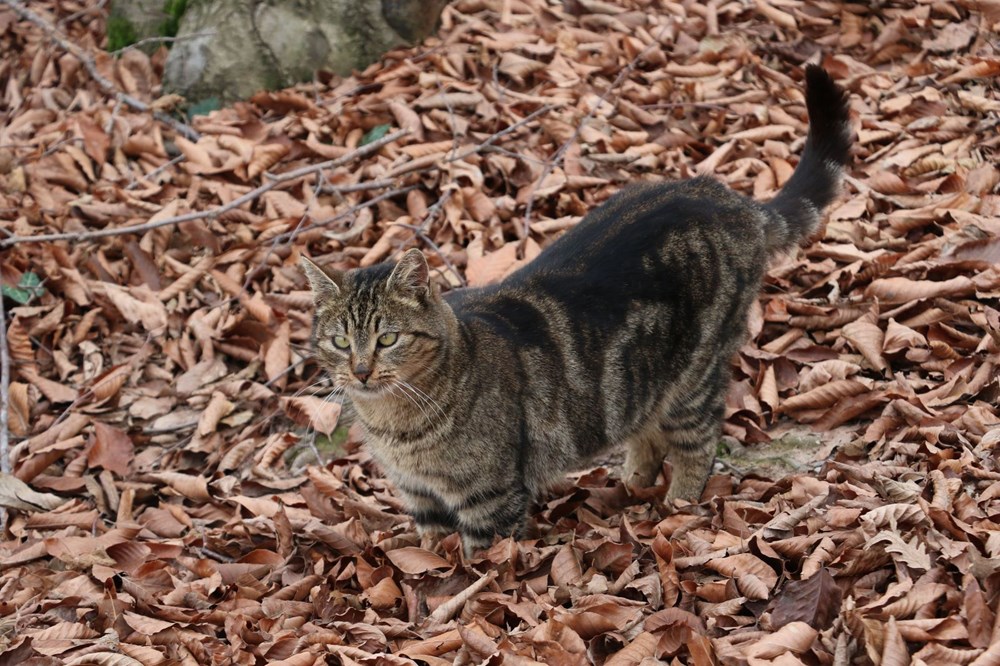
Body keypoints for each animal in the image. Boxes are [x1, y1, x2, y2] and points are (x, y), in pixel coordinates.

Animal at [300, 66, 848, 556]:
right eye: (340, 341)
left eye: (388, 338)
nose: (360, 371)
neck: (397, 425)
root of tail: (733, 200)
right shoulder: (420, 498)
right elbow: (429, 552)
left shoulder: (489, 500)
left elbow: (476, 568)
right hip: (639, 382)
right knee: (645, 432)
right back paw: (632, 484)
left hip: (695, 377)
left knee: (700, 442)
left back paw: (677, 506)